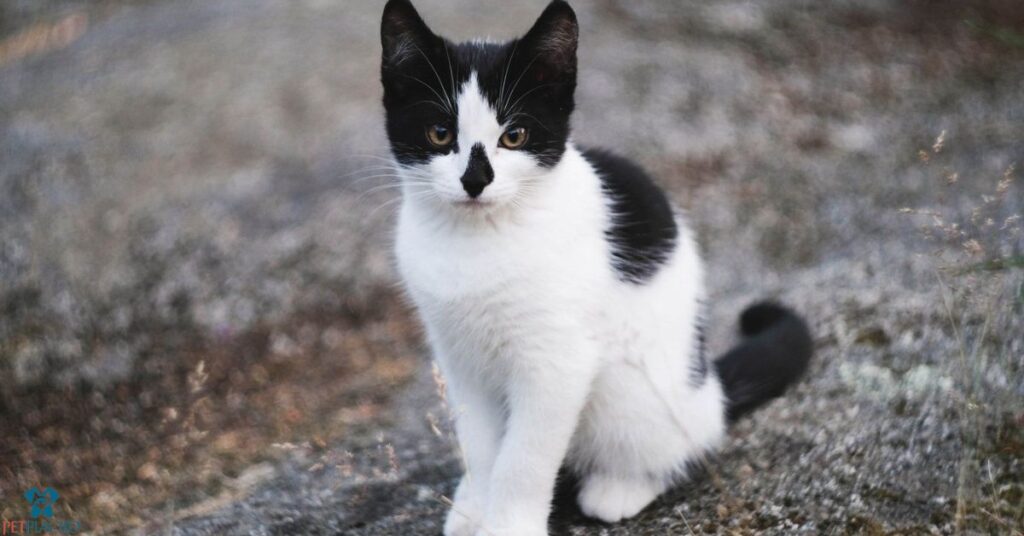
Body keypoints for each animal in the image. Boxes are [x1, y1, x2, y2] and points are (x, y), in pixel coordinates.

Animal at [378, 2, 815, 532]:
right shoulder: (458, 358)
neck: (477, 241)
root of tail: (711, 387)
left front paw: (508, 524)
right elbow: (480, 446)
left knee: (680, 445)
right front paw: (476, 510)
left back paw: (619, 488)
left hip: (636, 392)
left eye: (514, 135)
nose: (475, 180)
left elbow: (523, 459)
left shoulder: (558, 362)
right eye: (440, 133)